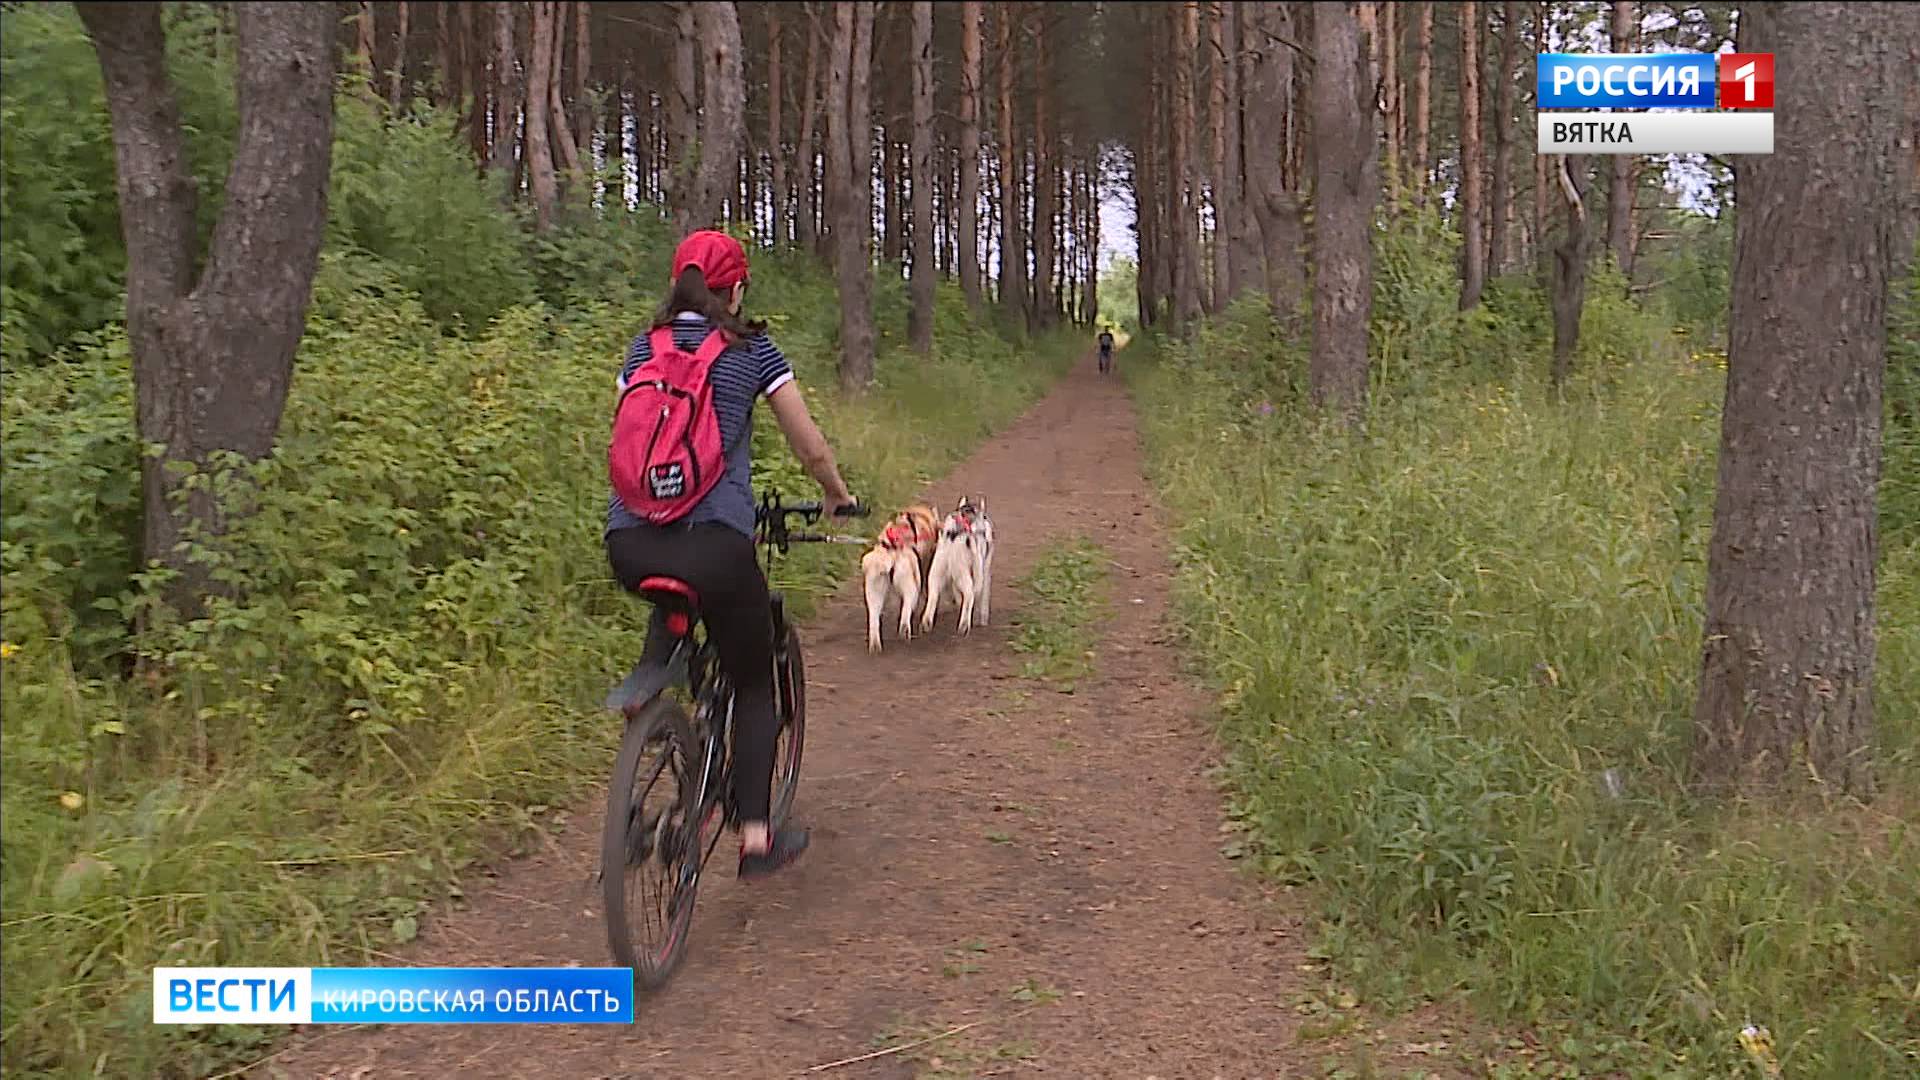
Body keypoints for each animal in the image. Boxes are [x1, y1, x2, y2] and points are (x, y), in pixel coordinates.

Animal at [860, 503, 940, 645]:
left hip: (874, 589)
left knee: (874, 615)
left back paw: (875, 643)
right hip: (909, 582)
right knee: (907, 607)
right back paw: (904, 630)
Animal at [921, 495, 998, 634]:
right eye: (984, 516)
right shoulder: (985, 571)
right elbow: (984, 598)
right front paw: (983, 620)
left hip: (936, 571)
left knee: (933, 596)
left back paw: (927, 623)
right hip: (963, 573)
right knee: (969, 594)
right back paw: (964, 626)